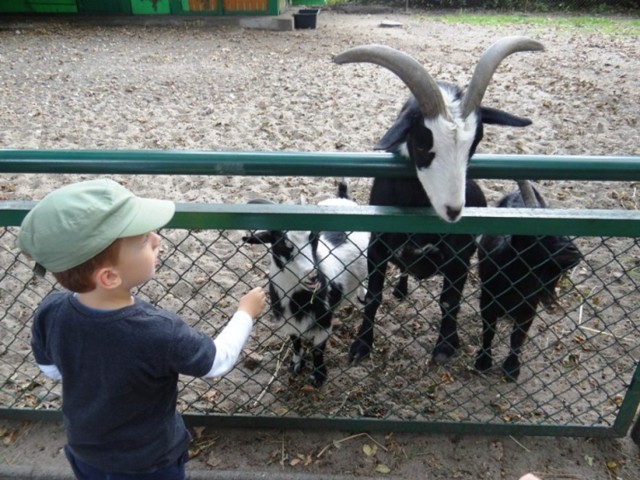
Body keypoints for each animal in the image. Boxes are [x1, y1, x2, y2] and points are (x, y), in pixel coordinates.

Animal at [241, 186, 370, 388]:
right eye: (283, 244)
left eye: (314, 238)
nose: (313, 275)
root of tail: (343, 197)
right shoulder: (289, 323)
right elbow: (295, 344)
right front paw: (296, 365)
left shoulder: (324, 321)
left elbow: (318, 349)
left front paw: (318, 376)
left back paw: (363, 295)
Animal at [332, 37, 544, 362]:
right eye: (421, 142)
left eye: (476, 142)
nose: (453, 210)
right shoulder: (377, 249)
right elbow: (374, 296)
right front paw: (361, 345)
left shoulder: (458, 259)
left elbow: (449, 301)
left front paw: (445, 345)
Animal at [472, 181, 584, 382]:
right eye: (538, 232)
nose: (574, 252)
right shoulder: (487, 301)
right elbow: (489, 331)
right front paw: (483, 360)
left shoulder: (529, 307)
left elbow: (517, 337)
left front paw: (511, 368)